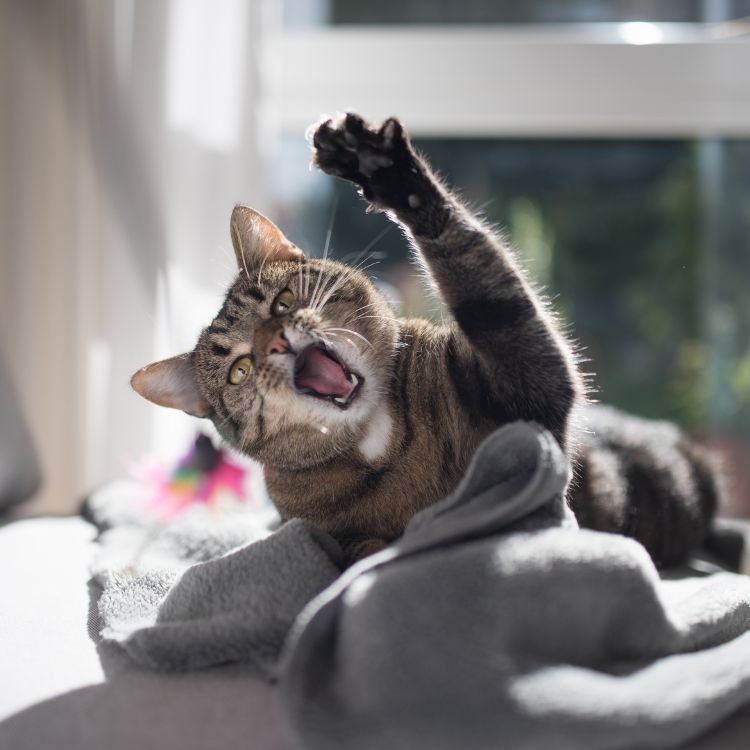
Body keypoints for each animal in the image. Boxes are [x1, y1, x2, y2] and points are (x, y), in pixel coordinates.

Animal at [131, 114, 724, 568]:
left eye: (280, 303)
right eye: (239, 370)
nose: (275, 341)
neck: (377, 435)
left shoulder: (526, 390)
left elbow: (479, 276)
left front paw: (387, 171)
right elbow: (358, 553)